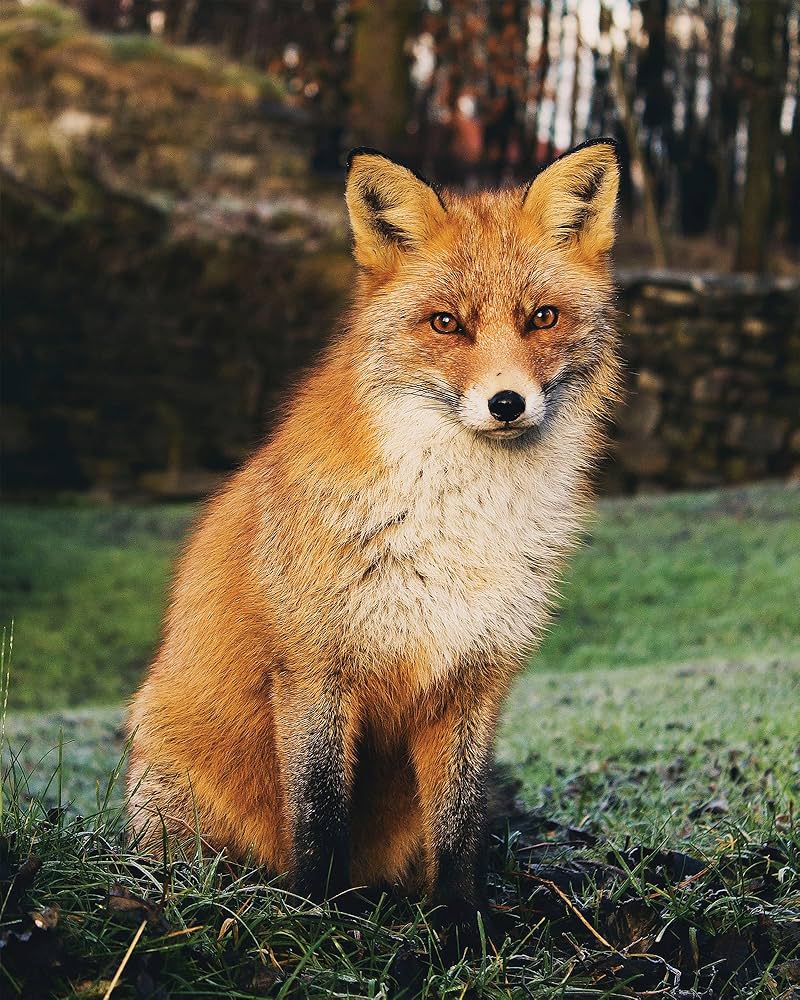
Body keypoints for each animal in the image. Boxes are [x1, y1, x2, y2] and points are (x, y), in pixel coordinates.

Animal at [126, 138, 621, 937]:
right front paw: (319, 918)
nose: (506, 403)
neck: (457, 526)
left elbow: (460, 827)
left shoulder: (472, 679)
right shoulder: (314, 669)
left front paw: (461, 925)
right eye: (446, 324)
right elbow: (320, 815)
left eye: (543, 317)